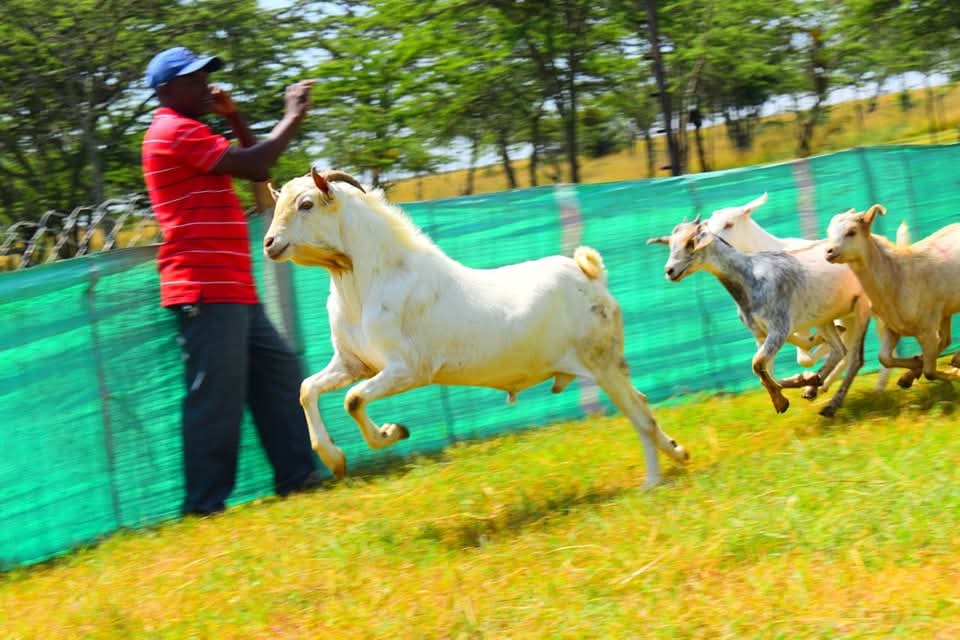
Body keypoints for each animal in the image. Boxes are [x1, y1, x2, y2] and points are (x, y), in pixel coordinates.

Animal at [262, 168, 689, 488]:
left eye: (305, 204)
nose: (268, 243)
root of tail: (590, 274)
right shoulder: (354, 364)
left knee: (639, 415)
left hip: (601, 363)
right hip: (608, 364)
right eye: (278, 203)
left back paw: (652, 481)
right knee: (643, 403)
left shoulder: (409, 370)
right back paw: (679, 453)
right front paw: (335, 460)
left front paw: (392, 432)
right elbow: (307, 389)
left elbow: (352, 399)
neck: (364, 281)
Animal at [647, 220, 869, 417]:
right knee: (839, 350)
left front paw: (782, 402)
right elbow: (763, 373)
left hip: (862, 308)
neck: (751, 278)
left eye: (690, 242)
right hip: (824, 317)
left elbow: (757, 364)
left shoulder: (779, 328)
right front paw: (803, 384)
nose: (669, 271)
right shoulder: (759, 334)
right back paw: (812, 387)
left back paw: (830, 406)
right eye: (670, 244)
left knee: (855, 359)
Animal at [703, 193, 901, 391]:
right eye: (707, 225)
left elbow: (804, 358)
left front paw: (810, 370)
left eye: (729, 224)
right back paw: (822, 387)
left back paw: (876, 386)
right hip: (851, 313)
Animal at [825, 205, 960, 386]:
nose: (828, 252)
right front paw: (912, 370)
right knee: (946, 339)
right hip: (945, 310)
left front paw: (950, 374)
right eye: (829, 232)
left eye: (852, 232)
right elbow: (884, 358)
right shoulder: (892, 327)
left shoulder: (928, 330)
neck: (897, 277)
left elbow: (930, 372)